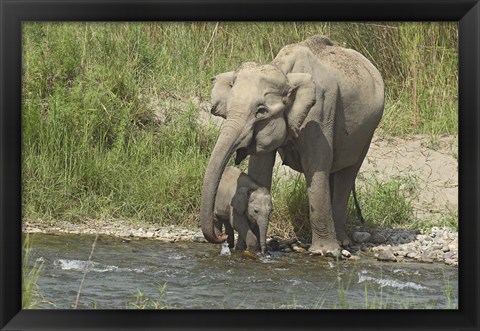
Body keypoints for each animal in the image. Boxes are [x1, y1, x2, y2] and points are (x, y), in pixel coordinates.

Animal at [199, 35, 382, 256]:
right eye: (228, 109)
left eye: (261, 111)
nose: (220, 237)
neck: (284, 71)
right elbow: (260, 168)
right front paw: (251, 248)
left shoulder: (320, 112)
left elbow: (316, 165)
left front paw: (324, 253)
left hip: (367, 132)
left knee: (346, 175)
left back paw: (342, 243)